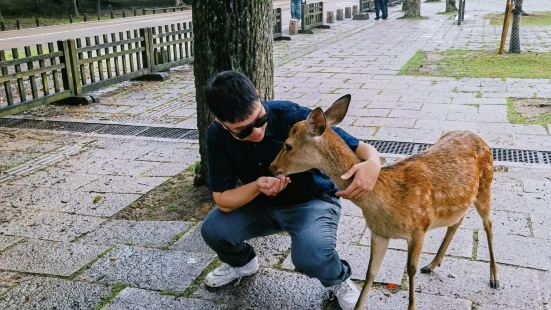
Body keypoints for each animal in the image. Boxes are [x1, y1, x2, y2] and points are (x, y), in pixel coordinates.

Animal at [270, 94, 498, 310]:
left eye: (288, 145)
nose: (272, 167)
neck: (384, 200)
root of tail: (479, 137)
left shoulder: (420, 227)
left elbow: (410, 270)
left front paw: (412, 305)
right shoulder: (379, 233)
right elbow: (371, 273)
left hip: (486, 185)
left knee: (488, 224)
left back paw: (494, 278)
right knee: (457, 221)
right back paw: (432, 264)